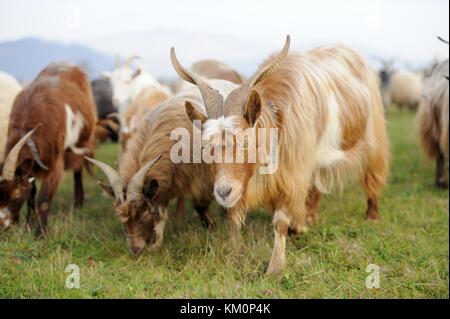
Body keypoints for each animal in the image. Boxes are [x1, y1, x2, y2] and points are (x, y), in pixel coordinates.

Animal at [0, 63, 97, 238]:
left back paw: (78, 204)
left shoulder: (54, 161)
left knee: (78, 168)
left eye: (16, 195)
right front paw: (28, 225)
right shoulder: (31, 166)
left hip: (82, 139)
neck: (28, 131)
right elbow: (31, 195)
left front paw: (41, 233)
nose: (2, 225)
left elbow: (44, 199)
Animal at [172, 35, 390, 276]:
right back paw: (309, 219)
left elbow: (280, 220)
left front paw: (275, 268)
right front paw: (297, 228)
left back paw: (372, 215)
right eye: (206, 147)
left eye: (246, 142)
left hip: (374, 136)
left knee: (373, 174)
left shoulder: (292, 172)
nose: (223, 192)